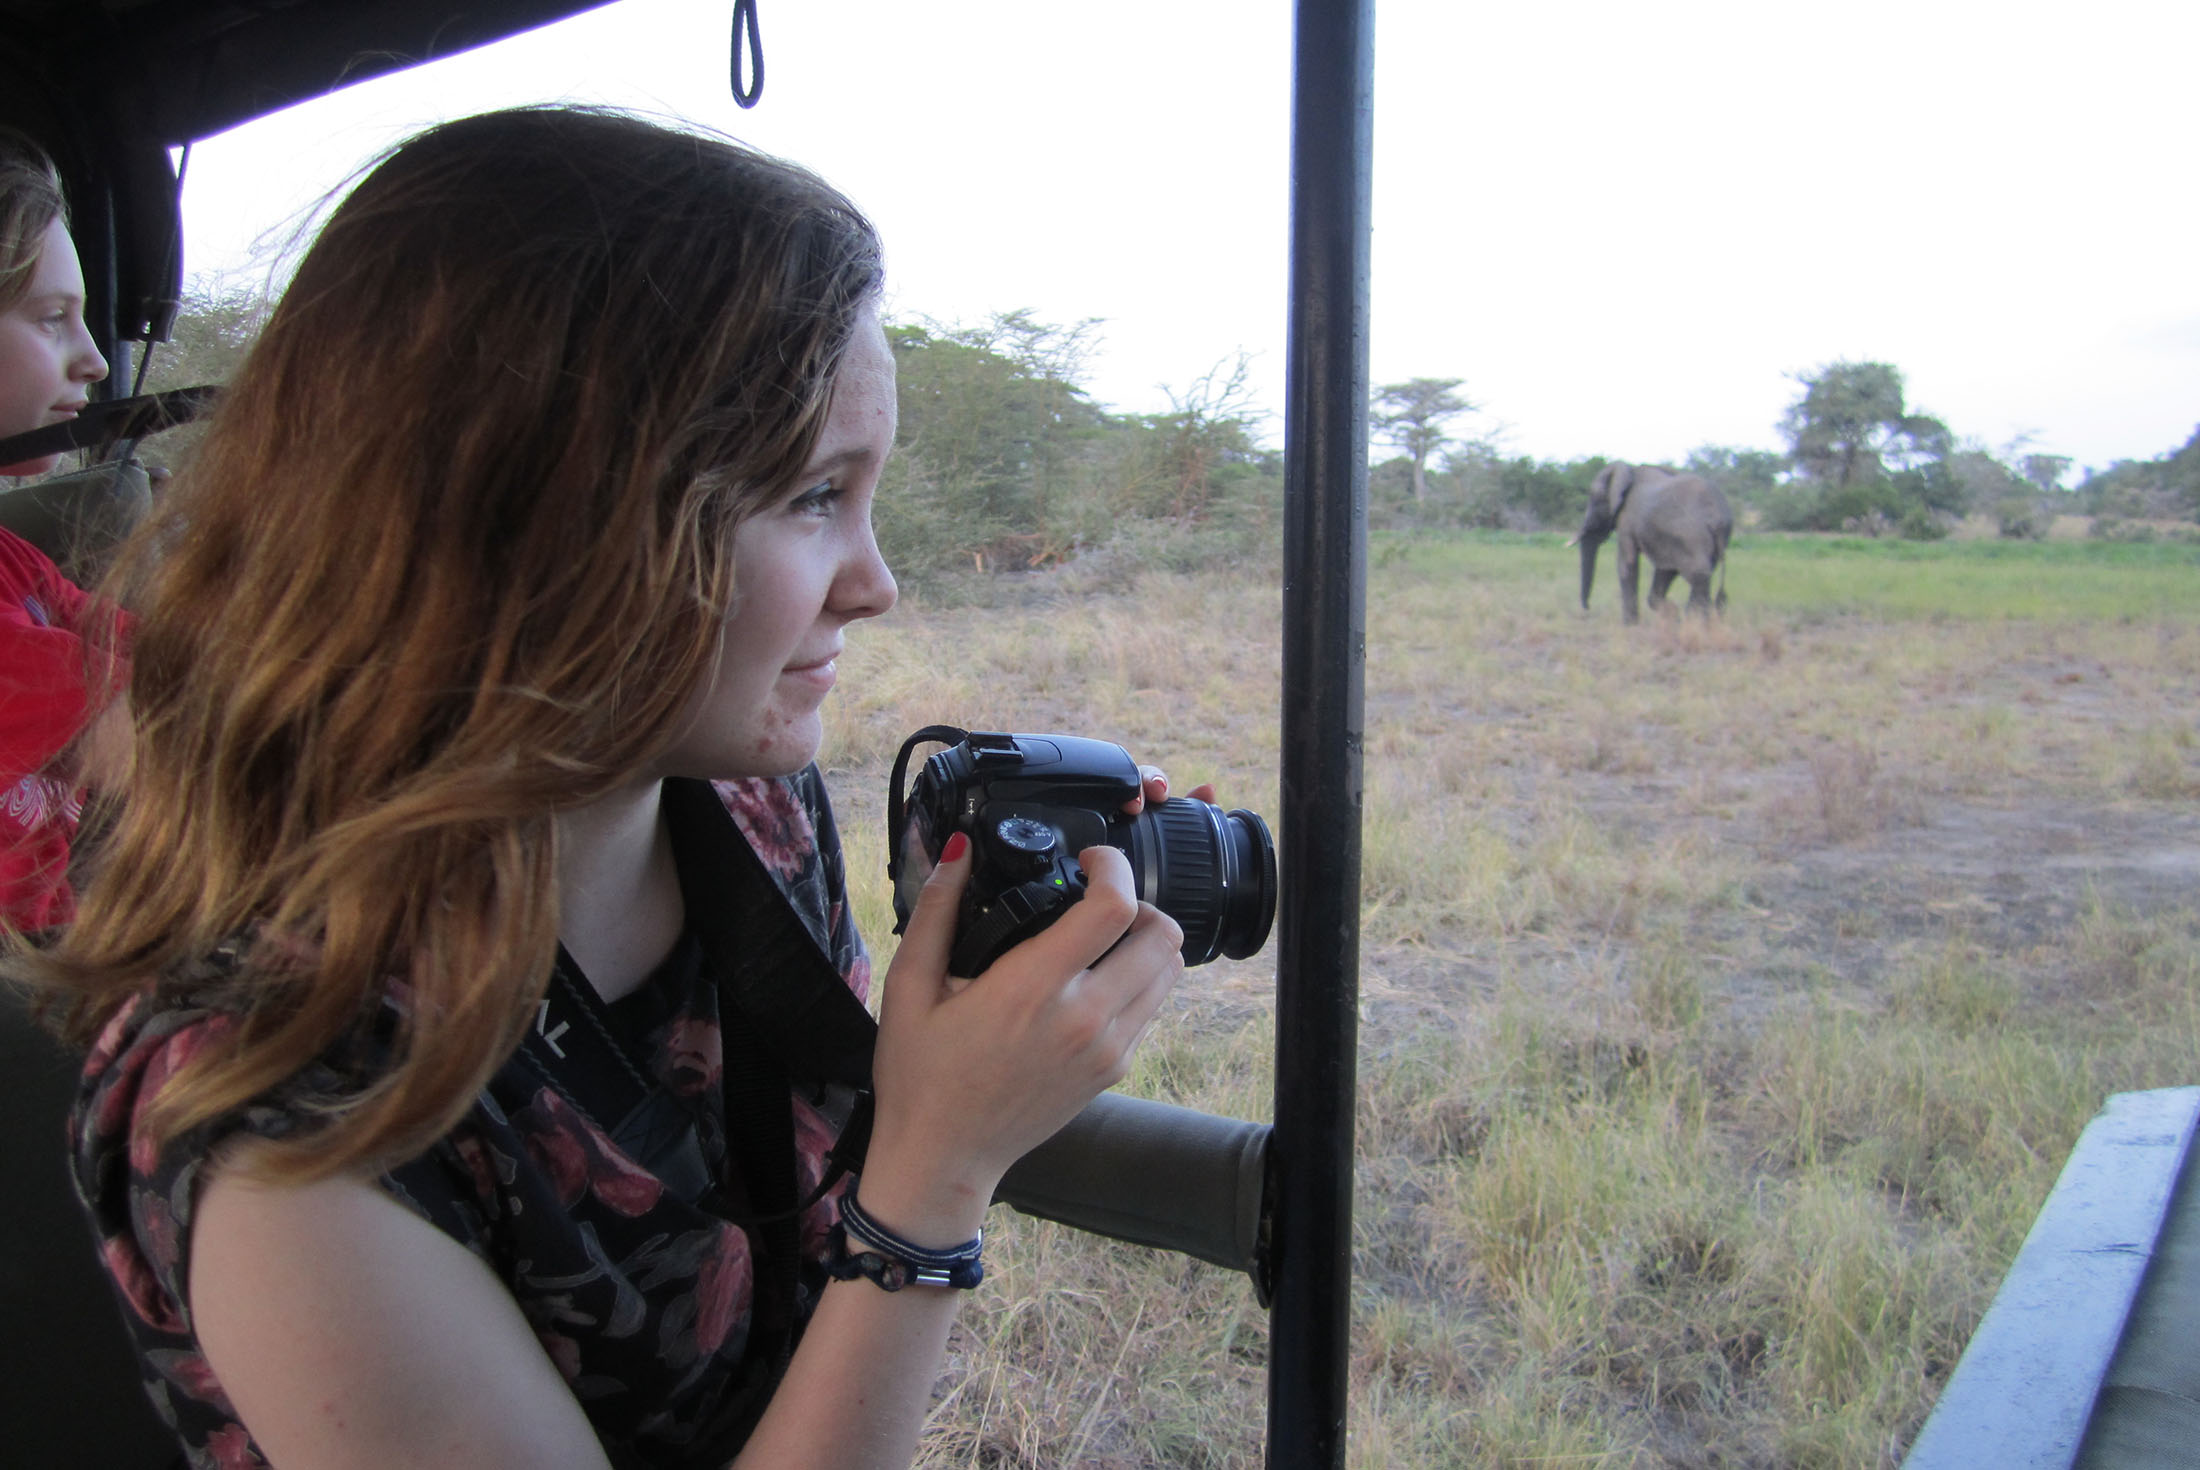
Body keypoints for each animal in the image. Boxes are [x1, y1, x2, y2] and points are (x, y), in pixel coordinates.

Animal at [1575, 459, 1724, 620]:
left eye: (1593, 498)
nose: (1587, 607)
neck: (1628, 469)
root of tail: (1719, 518)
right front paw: (1671, 613)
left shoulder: (1626, 518)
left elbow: (1627, 564)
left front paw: (1631, 624)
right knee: (1676, 572)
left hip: (1690, 538)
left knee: (1698, 577)